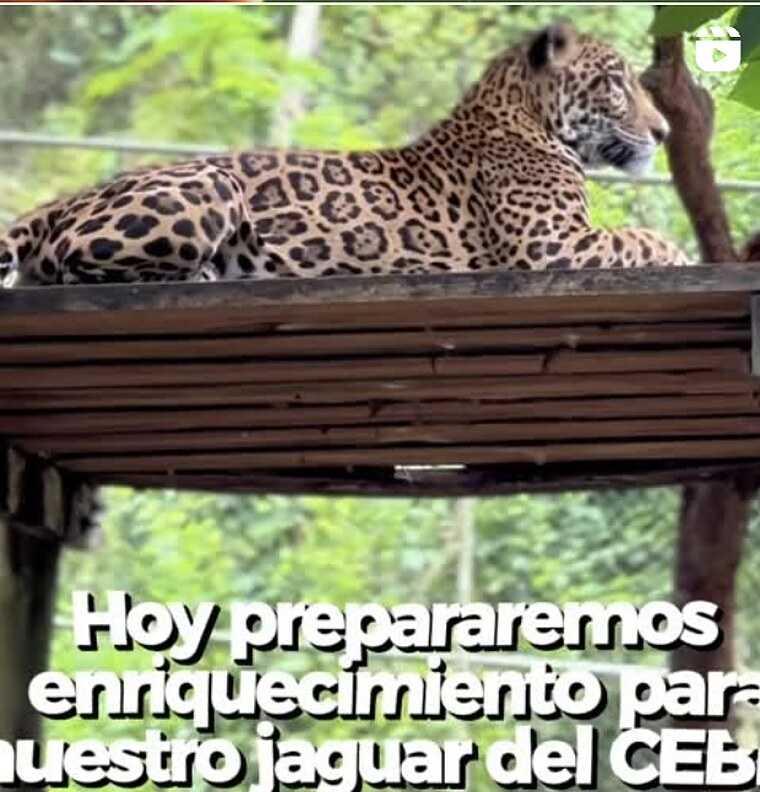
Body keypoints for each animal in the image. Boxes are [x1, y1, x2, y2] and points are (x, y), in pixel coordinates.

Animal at [0, 21, 691, 287]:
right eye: (615, 82)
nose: (663, 132)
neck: (524, 116)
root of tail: (69, 198)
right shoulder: (552, 246)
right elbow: (640, 238)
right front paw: (681, 254)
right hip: (211, 182)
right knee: (71, 262)